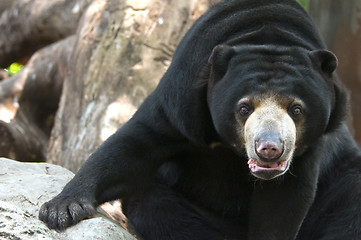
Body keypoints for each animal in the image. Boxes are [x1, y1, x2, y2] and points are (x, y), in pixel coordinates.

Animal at [38, 0, 360, 239]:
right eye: (244, 108)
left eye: (296, 109)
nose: (269, 148)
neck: (268, 38)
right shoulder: (183, 100)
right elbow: (134, 145)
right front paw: (61, 209)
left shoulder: (310, 148)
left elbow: (283, 202)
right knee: (156, 206)